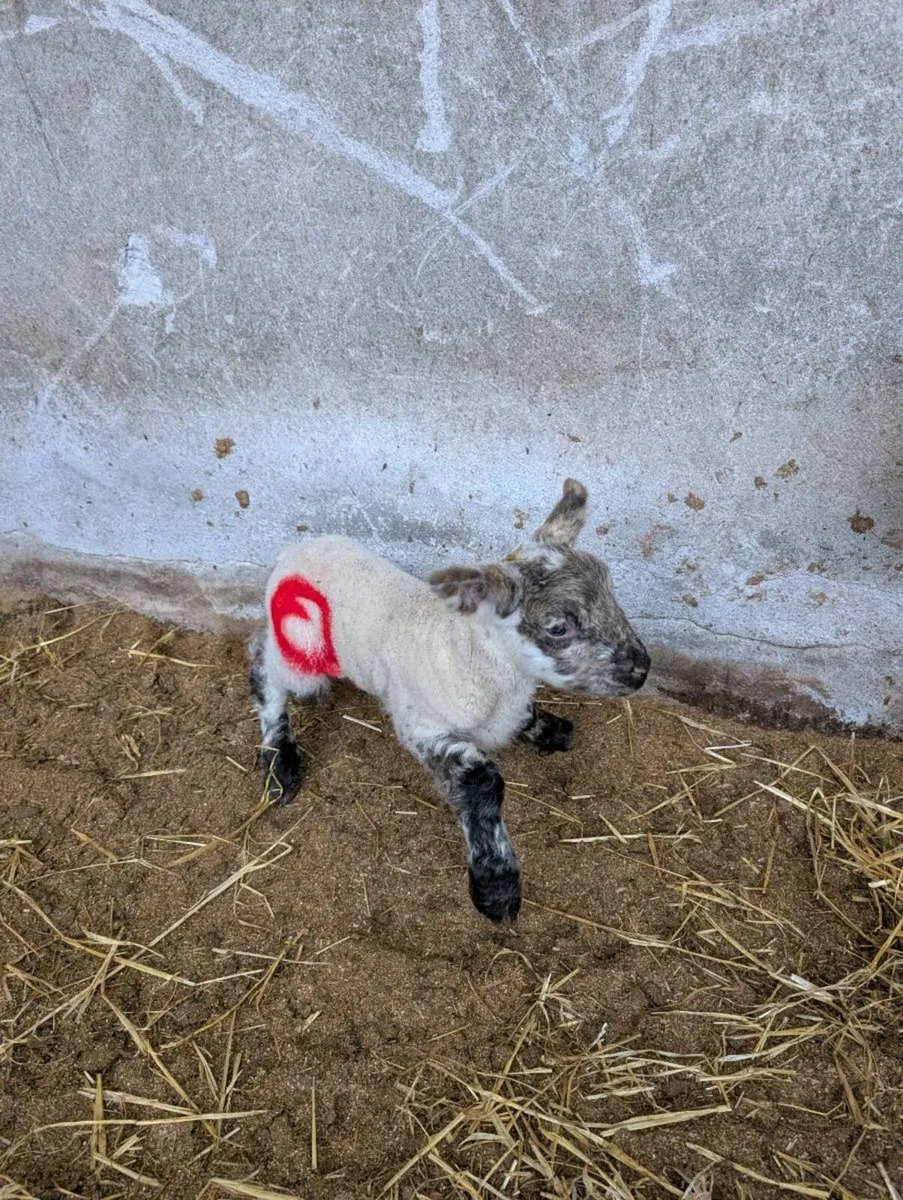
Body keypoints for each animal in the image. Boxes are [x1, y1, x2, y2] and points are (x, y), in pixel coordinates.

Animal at [248, 479, 650, 923]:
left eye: (612, 593)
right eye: (558, 628)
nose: (642, 668)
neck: (470, 651)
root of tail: (293, 551)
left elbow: (522, 718)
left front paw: (548, 728)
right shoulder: (421, 725)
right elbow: (481, 782)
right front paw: (496, 885)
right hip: (301, 651)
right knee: (264, 667)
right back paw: (279, 761)